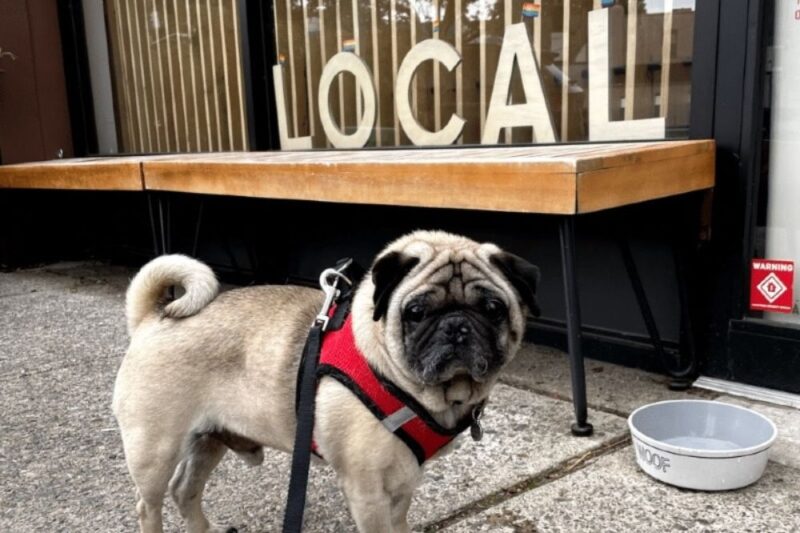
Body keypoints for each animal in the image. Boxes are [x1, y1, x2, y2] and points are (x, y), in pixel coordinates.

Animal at [112, 230, 540, 532]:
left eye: (493, 308)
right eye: (416, 312)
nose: (456, 325)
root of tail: (152, 319)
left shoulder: (402, 483)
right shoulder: (367, 491)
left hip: (209, 439)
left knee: (184, 490)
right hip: (155, 449)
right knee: (148, 505)